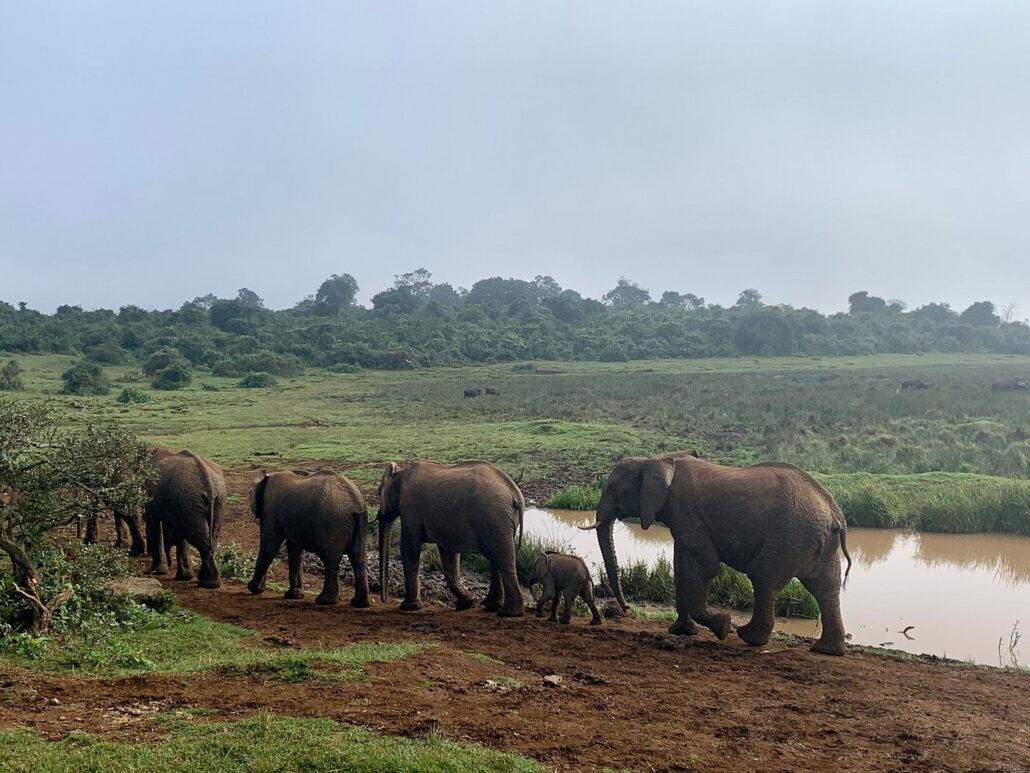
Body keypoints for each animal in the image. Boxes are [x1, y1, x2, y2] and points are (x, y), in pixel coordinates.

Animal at [144, 451, 224, 589]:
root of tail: (209, 484)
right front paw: (184, 576)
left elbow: (153, 522)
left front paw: (156, 571)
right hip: (212, 499)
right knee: (210, 538)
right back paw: (207, 580)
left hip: (192, 499)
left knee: (197, 536)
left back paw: (208, 583)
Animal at [376, 459, 523, 618]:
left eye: (378, 494)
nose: (384, 600)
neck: (399, 473)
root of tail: (515, 494)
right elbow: (448, 552)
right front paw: (466, 604)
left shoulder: (409, 508)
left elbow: (409, 548)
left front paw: (408, 607)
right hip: (498, 519)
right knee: (496, 556)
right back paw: (492, 606)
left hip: (494, 516)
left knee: (501, 557)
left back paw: (508, 613)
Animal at [585, 451, 848, 655]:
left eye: (613, 489)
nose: (626, 608)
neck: (654, 460)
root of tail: (836, 515)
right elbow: (681, 566)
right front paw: (681, 632)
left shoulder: (688, 512)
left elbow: (704, 564)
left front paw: (722, 626)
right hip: (819, 543)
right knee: (826, 589)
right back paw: (827, 650)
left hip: (790, 536)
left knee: (764, 578)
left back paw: (748, 637)